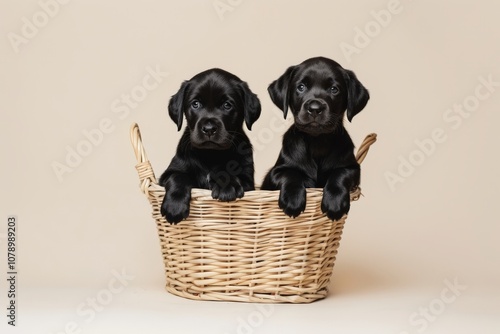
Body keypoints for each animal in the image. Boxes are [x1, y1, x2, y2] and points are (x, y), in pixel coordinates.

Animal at [160, 69, 262, 223]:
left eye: (227, 105)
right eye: (195, 104)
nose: (209, 129)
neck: (210, 154)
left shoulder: (248, 183)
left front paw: (227, 185)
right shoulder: (166, 175)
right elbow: (178, 176)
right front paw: (174, 206)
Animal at [260, 56, 370, 220]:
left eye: (334, 89)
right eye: (301, 87)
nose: (314, 109)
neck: (317, 142)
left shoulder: (353, 168)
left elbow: (340, 174)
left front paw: (335, 202)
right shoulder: (276, 172)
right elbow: (291, 174)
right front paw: (293, 200)